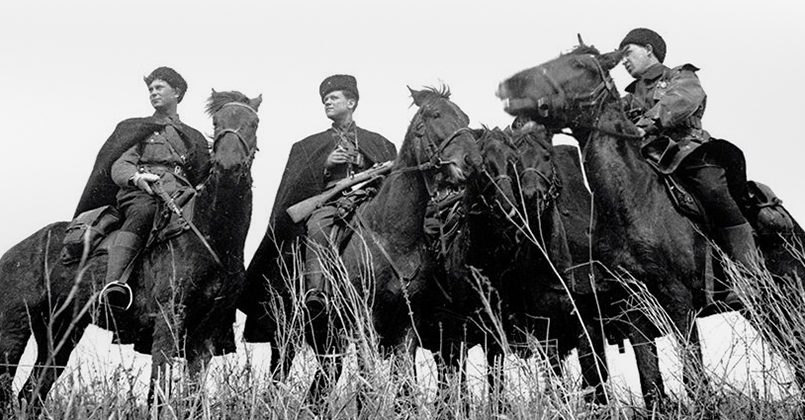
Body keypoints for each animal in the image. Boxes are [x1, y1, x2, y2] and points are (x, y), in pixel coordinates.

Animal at [0, 90, 261, 414]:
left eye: (253, 122)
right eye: (216, 121)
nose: (228, 166)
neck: (211, 238)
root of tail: (13, 252)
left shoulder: (204, 338)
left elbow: (193, 399)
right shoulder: (168, 322)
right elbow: (158, 391)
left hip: (61, 334)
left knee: (32, 392)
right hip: (13, 329)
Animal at [496, 42, 805, 409]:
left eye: (579, 65)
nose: (511, 84)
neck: (633, 202)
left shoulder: (679, 304)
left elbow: (693, 380)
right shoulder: (634, 312)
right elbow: (651, 385)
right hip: (764, 310)